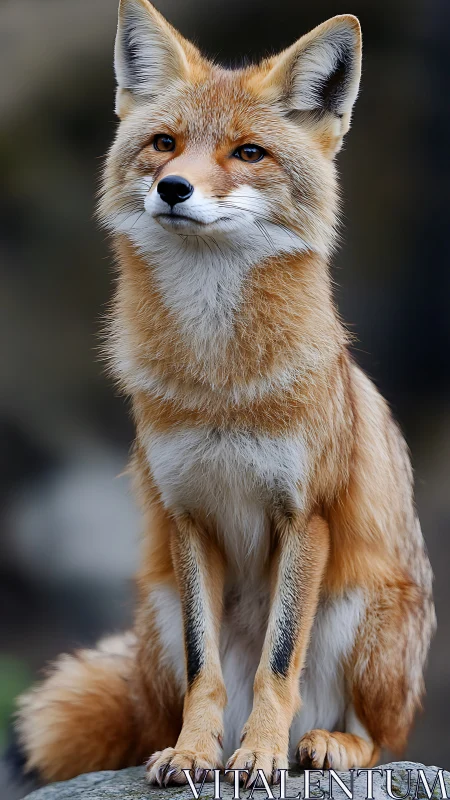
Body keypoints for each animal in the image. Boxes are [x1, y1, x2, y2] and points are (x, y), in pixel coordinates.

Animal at [14, 0, 435, 789]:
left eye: (248, 153)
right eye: (164, 144)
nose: (173, 188)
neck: (221, 388)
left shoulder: (306, 516)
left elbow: (279, 662)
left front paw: (261, 754)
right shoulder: (190, 516)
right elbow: (203, 667)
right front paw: (193, 751)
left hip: (364, 613)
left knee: (384, 738)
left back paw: (321, 744)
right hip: (154, 609)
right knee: (173, 696)